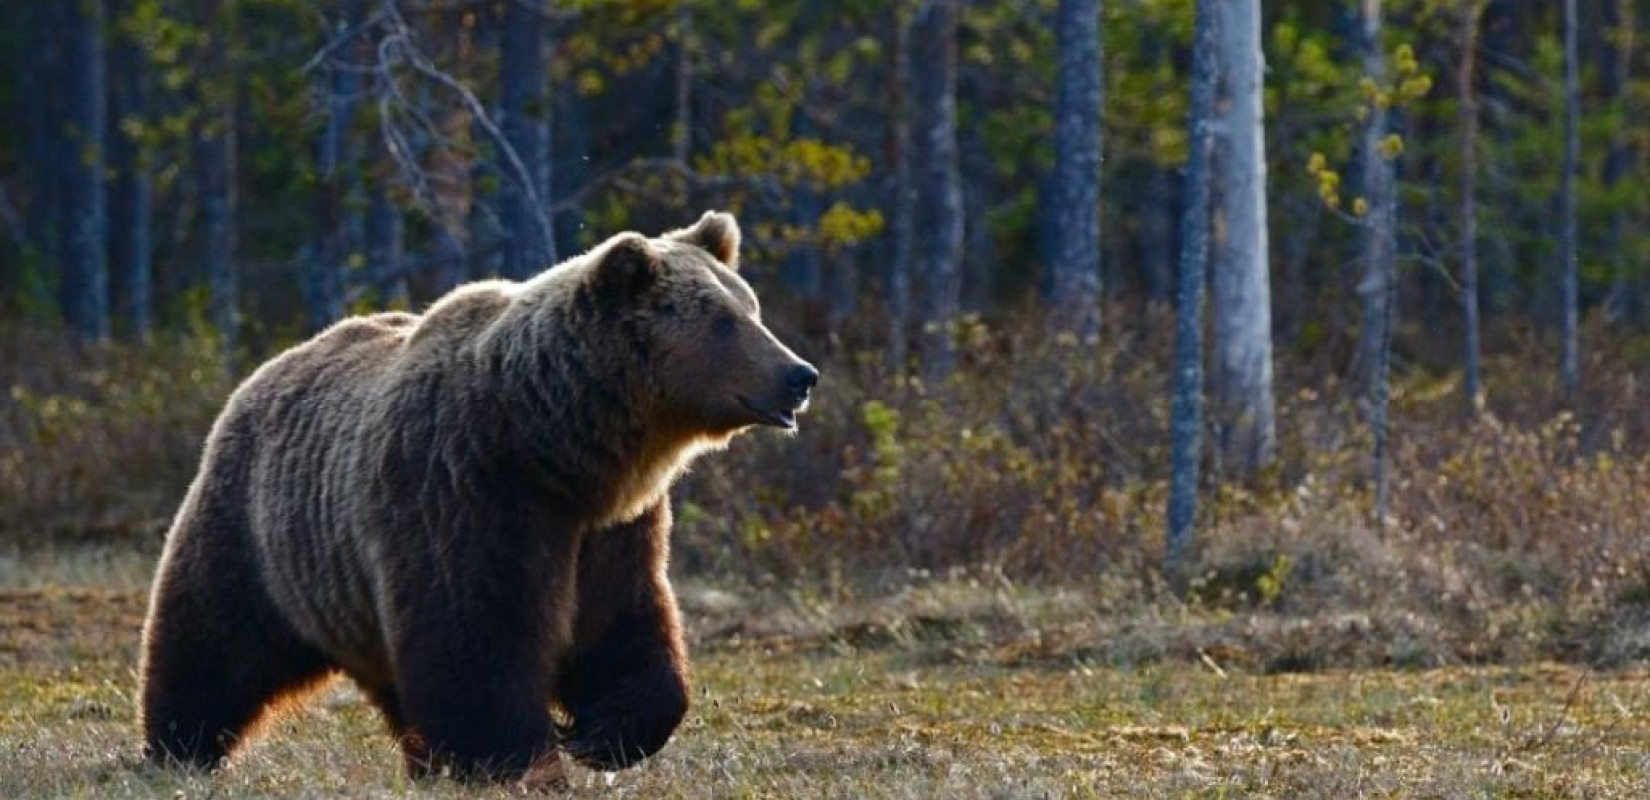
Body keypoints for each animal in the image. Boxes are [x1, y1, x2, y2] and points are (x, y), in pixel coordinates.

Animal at [136, 210, 818, 778]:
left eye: (752, 308)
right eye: (723, 321)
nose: (800, 374)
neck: (554, 446)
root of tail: (267, 370)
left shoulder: (611, 528)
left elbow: (623, 624)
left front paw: (602, 733)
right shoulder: (466, 492)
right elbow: (476, 635)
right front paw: (516, 757)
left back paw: (421, 760)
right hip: (259, 534)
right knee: (211, 642)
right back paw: (178, 747)